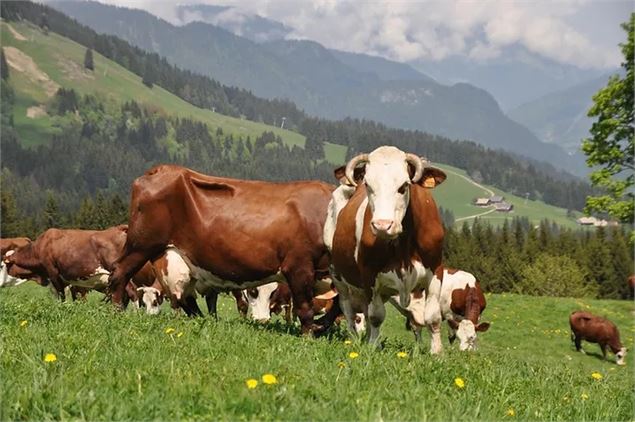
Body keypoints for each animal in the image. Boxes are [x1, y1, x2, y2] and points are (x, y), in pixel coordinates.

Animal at [108, 165, 338, 332]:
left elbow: (335, 306)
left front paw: (322, 327)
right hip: (140, 246)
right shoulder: (299, 266)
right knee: (119, 274)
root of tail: (159, 169)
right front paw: (309, 334)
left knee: (185, 298)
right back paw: (116, 312)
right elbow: (305, 308)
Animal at [322, 147, 448, 352]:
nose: (382, 225)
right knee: (349, 311)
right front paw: (373, 347)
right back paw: (355, 339)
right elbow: (375, 316)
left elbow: (433, 316)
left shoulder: (436, 270)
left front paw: (437, 352)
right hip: (338, 275)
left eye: (404, 186)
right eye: (368, 185)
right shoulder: (369, 276)